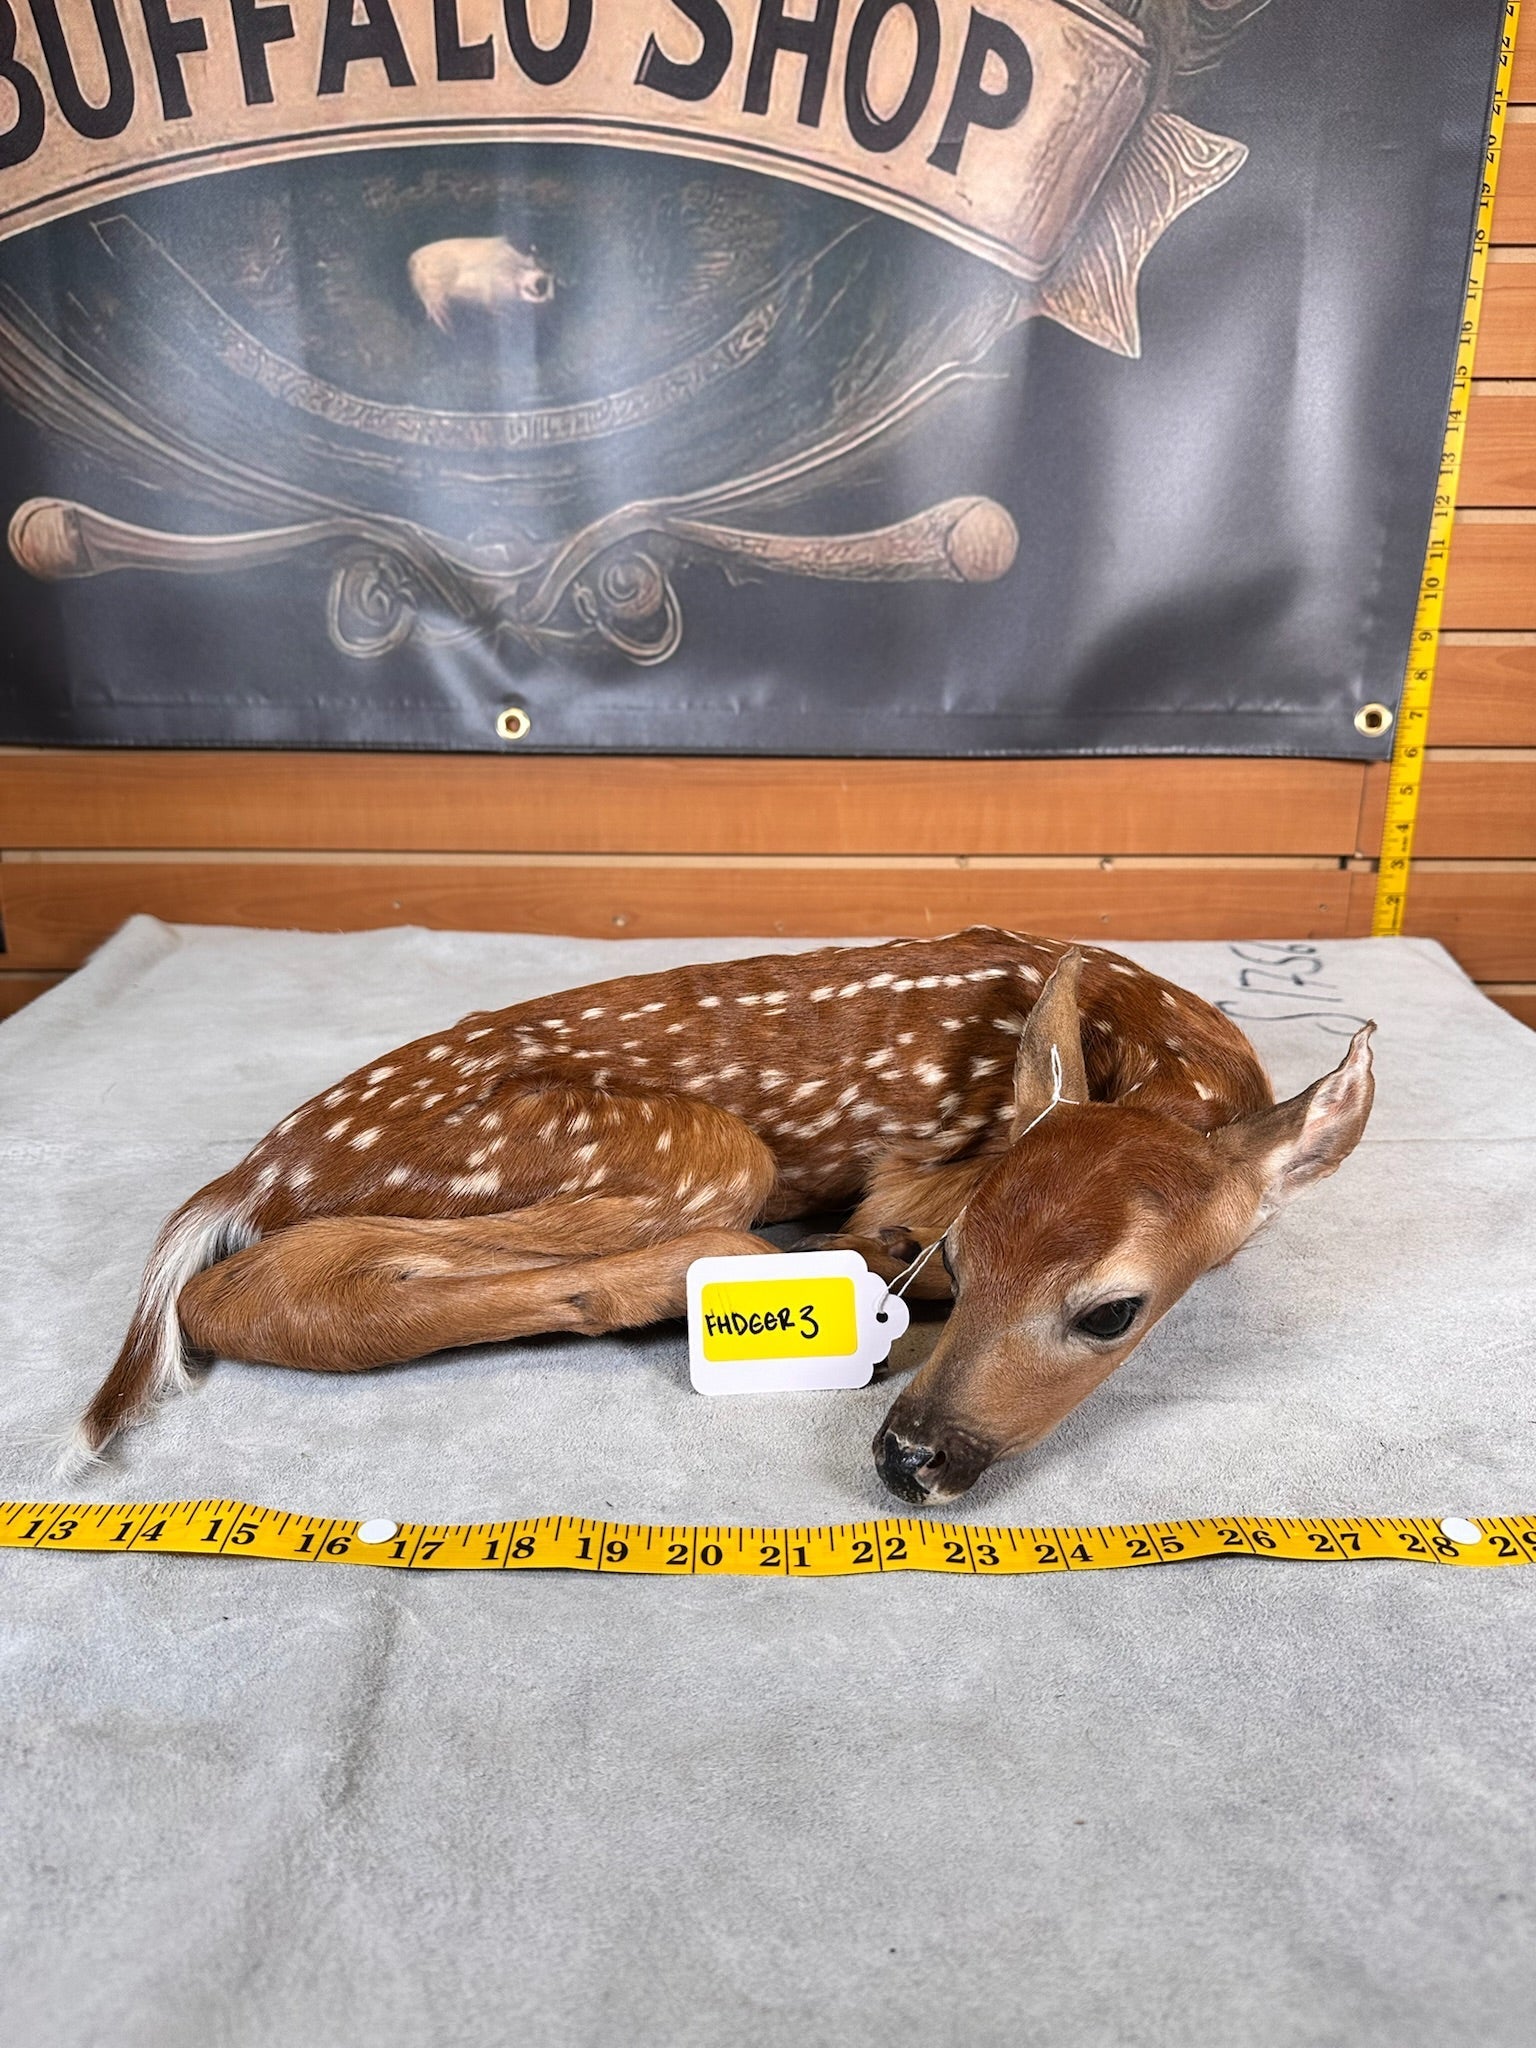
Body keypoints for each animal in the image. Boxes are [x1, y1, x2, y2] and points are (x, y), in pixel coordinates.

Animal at [69, 928, 1374, 1504]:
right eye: (966, 1248)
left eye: (1112, 1313)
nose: (909, 1457)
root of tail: (253, 1171)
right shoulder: (917, 1172)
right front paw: (877, 1271)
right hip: (695, 1148)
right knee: (249, 1285)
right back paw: (700, 1272)